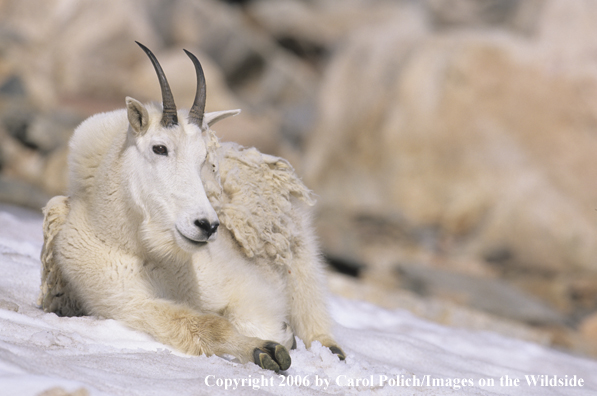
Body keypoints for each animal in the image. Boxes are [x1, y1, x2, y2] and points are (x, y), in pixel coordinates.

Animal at [38, 42, 344, 372]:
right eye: (159, 148)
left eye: (203, 158)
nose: (206, 225)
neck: (148, 252)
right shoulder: (129, 302)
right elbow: (206, 324)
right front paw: (264, 350)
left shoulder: (244, 288)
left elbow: (249, 316)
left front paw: (280, 338)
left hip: (297, 252)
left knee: (311, 303)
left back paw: (329, 348)